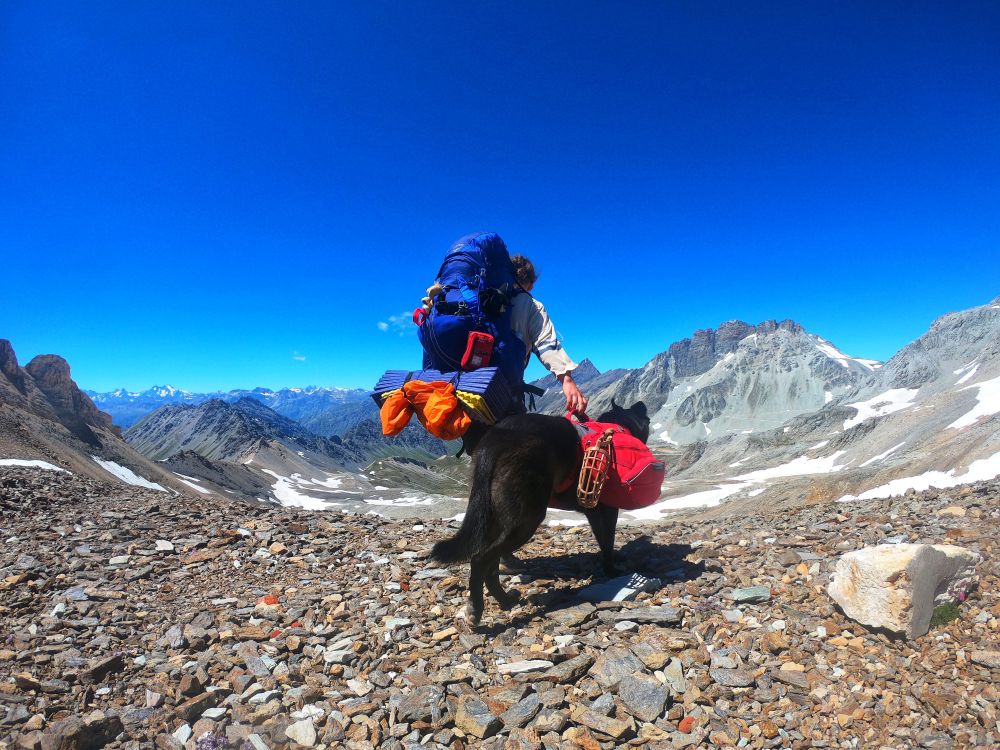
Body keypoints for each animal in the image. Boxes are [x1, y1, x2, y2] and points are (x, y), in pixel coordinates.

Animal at [430, 402, 648, 624]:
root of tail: (495, 442)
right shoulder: (606, 511)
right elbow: (608, 542)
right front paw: (612, 570)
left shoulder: (594, 513)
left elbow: (604, 541)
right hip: (527, 519)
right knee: (480, 558)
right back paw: (476, 608)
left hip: (493, 517)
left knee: (491, 565)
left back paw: (505, 600)